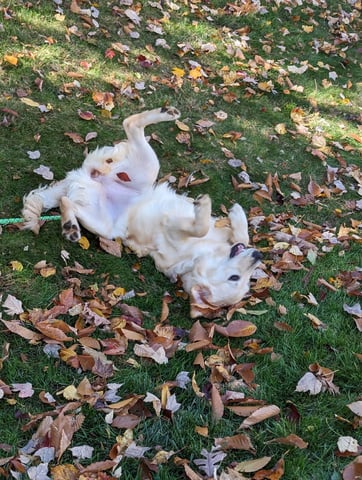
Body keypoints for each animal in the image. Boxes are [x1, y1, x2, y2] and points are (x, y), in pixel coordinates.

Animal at [21, 108, 260, 318]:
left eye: (245, 279)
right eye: (234, 277)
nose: (259, 255)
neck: (198, 255)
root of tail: (83, 179)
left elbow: (220, 233)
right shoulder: (186, 227)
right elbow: (223, 232)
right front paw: (233, 213)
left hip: (103, 225)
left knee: (67, 201)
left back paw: (70, 226)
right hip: (147, 169)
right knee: (130, 123)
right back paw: (166, 113)